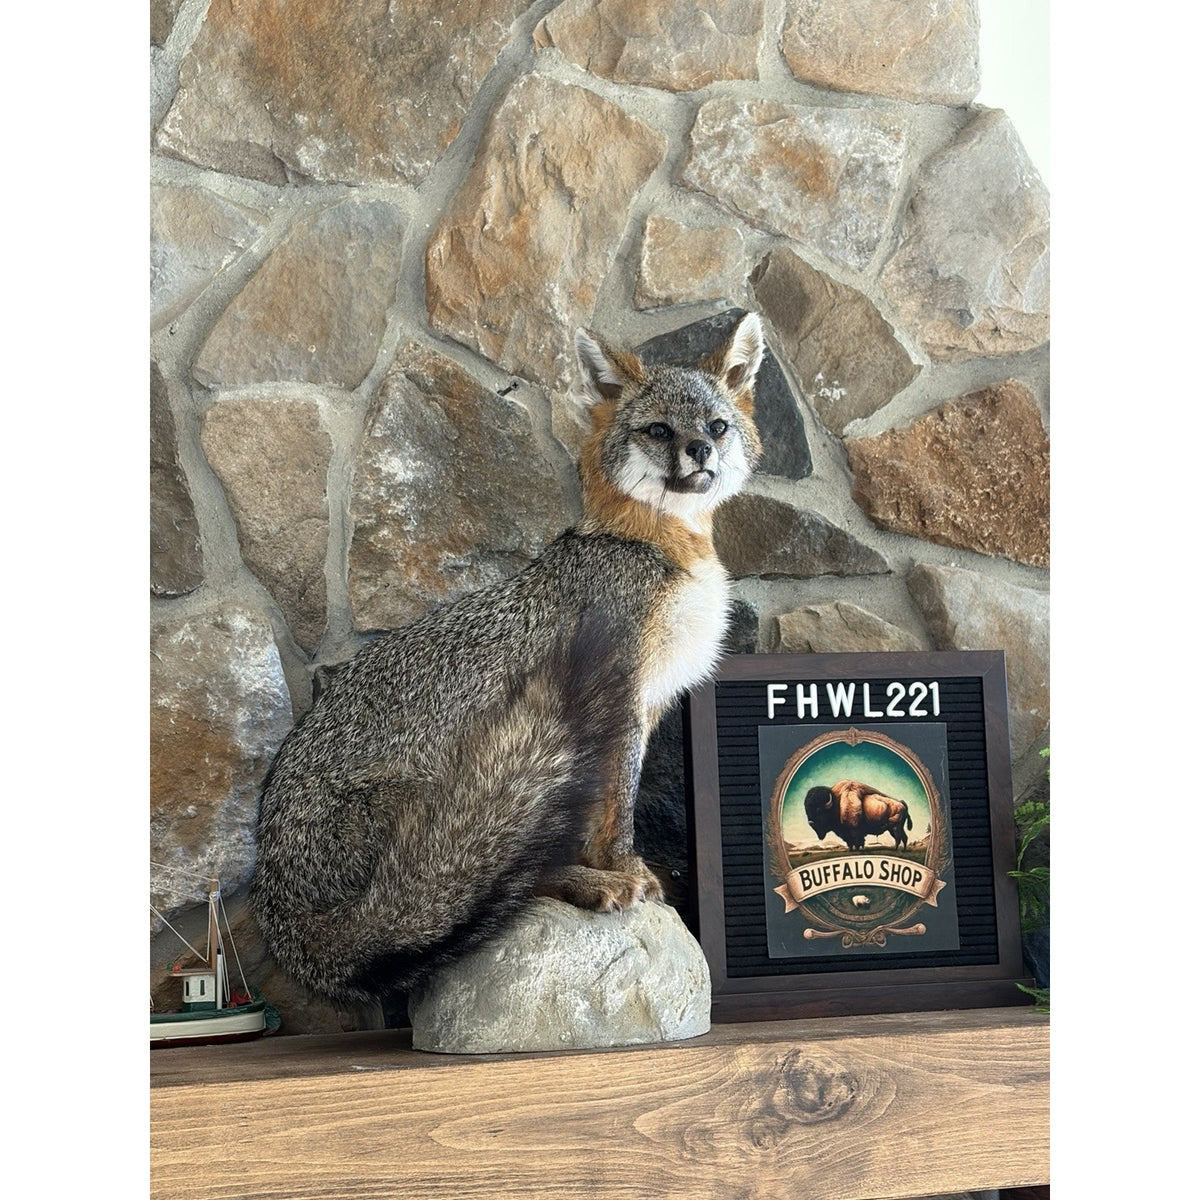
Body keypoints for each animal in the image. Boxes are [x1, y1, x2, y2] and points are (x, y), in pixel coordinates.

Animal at [250, 312, 765, 1003]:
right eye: (659, 430)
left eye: (716, 427)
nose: (700, 452)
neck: (658, 549)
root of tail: (282, 917)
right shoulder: (622, 698)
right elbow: (616, 808)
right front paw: (619, 868)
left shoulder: (647, 703)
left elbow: (600, 811)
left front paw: (610, 866)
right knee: (486, 887)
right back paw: (582, 884)